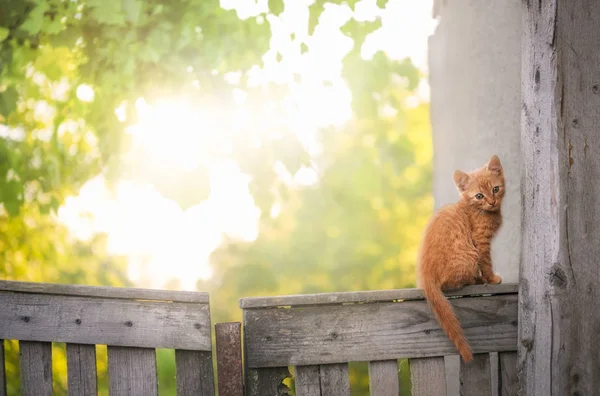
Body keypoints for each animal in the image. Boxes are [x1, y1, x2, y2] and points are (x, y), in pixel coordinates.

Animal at [418, 155, 506, 362]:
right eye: (479, 196)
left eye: (495, 189)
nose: (492, 202)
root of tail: (426, 274)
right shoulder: (480, 241)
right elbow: (487, 262)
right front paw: (491, 279)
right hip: (470, 255)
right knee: (452, 283)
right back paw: (477, 279)